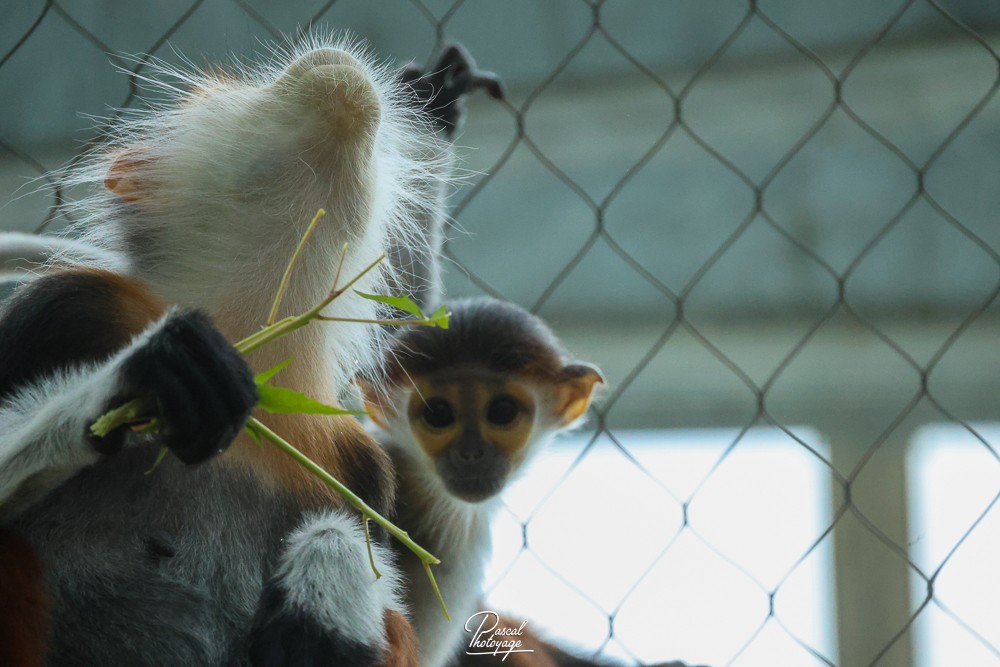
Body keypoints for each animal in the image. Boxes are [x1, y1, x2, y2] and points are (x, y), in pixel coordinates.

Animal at [0, 35, 498, 666]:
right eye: (227, 87)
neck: (256, 351)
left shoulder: (357, 466)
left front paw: (332, 572)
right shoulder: (70, 307)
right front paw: (148, 376)